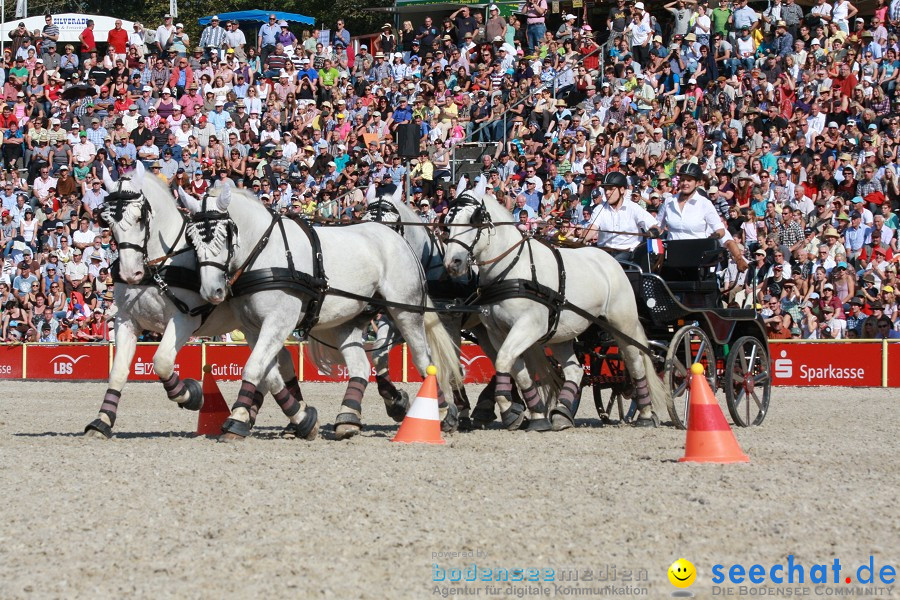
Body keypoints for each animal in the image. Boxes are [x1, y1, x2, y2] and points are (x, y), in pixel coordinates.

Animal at [89, 164, 316, 440]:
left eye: (140, 218)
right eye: (108, 221)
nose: (131, 274)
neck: (160, 265)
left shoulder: (184, 318)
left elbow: (162, 362)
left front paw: (191, 395)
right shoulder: (126, 320)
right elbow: (118, 372)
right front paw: (102, 420)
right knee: (279, 361)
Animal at [181, 184, 464, 440]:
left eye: (223, 235)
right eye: (191, 239)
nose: (211, 290)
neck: (266, 252)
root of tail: (398, 239)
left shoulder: (279, 322)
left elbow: (254, 368)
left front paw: (238, 421)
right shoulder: (253, 328)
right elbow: (268, 372)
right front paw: (296, 419)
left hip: (405, 310)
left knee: (424, 359)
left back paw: (442, 412)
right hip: (349, 320)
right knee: (361, 366)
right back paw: (348, 419)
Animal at [442, 176, 668, 428]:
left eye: (474, 219)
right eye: (448, 221)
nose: (453, 263)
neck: (512, 269)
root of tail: (611, 259)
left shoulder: (529, 325)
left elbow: (503, 361)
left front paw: (510, 410)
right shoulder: (496, 331)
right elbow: (516, 369)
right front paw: (533, 415)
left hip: (622, 324)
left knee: (634, 361)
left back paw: (645, 413)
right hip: (562, 332)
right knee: (575, 370)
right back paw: (562, 412)